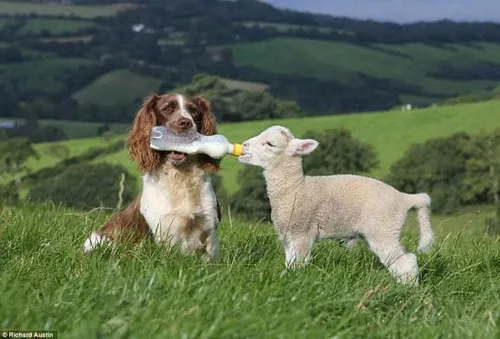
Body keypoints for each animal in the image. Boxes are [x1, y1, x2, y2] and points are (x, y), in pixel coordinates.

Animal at [82, 91, 221, 262]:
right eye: (167, 108)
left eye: (193, 110)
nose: (185, 123)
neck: (181, 176)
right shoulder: (163, 234)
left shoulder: (209, 230)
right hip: (101, 240)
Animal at [238, 126, 434, 286]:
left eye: (270, 144)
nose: (244, 145)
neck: (296, 188)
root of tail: (405, 198)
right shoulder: (288, 236)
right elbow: (290, 262)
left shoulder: (302, 233)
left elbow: (298, 264)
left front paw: (293, 281)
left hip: (383, 229)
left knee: (406, 262)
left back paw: (407, 290)